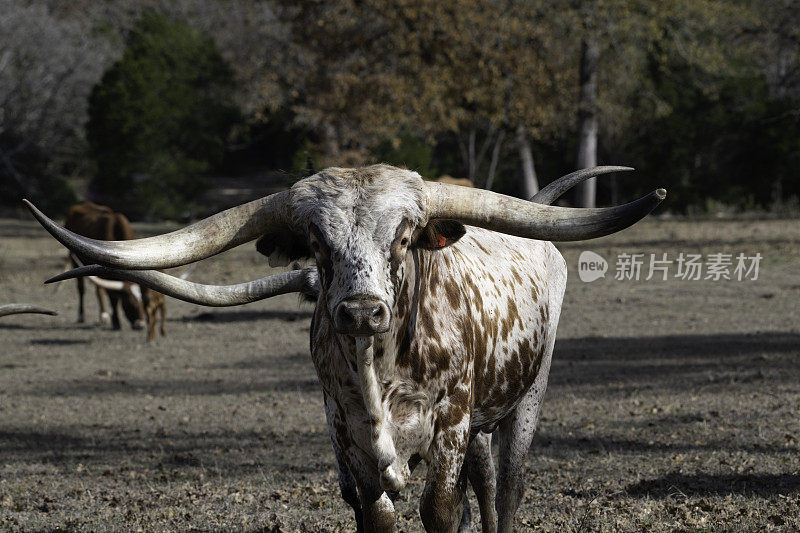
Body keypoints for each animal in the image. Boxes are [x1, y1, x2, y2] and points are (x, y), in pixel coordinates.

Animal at [29, 164, 664, 528]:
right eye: (316, 242)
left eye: (404, 237)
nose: (361, 311)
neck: (378, 371)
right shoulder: (345, 426)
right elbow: (375, 511)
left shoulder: (451, 418)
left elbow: (441, 510)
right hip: (480, 423)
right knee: (483, 486)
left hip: (525, 399)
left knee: (505, 491)